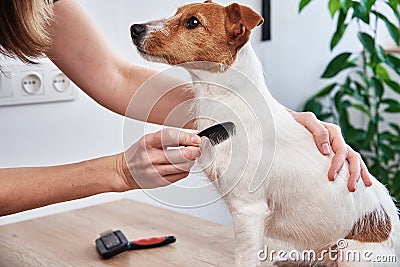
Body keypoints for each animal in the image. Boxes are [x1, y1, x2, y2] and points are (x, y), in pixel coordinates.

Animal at [130, 1, 398, 266]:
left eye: (193, 22)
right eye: (176, 12)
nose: (135, 28)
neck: (227, 100)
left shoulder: (248, 211)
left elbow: (245, 257)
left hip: (349, 251)